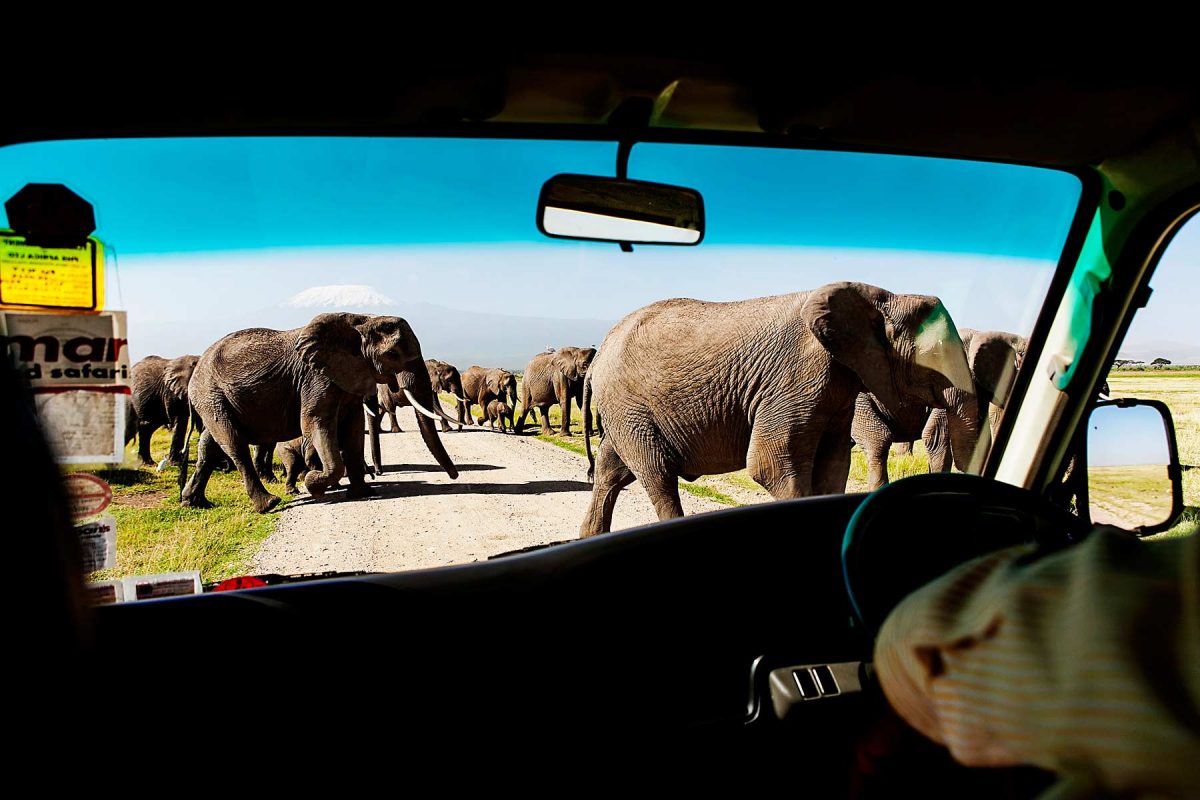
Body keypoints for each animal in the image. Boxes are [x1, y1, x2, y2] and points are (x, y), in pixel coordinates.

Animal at [180, 311, 456, 513]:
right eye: (392, 354)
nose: (454, 476)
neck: (361, 321)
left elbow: (353, 427)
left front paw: (363, 493)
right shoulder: (315, 378)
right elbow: (315, 422)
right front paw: (314, 484)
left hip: (214, 400)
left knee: (209, 445)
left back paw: (194, 503)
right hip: (211, 395)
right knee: (233, 443)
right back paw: (269, 504)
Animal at [580, 281, 984, 537]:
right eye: (936, 357)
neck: (882, 296)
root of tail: (599, 354)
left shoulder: (838, 391)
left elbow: (834, 466)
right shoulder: (796, 379)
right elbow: (769, 464)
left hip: (625, 412)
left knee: (611, 471)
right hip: (629, 407)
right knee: (657, 475)